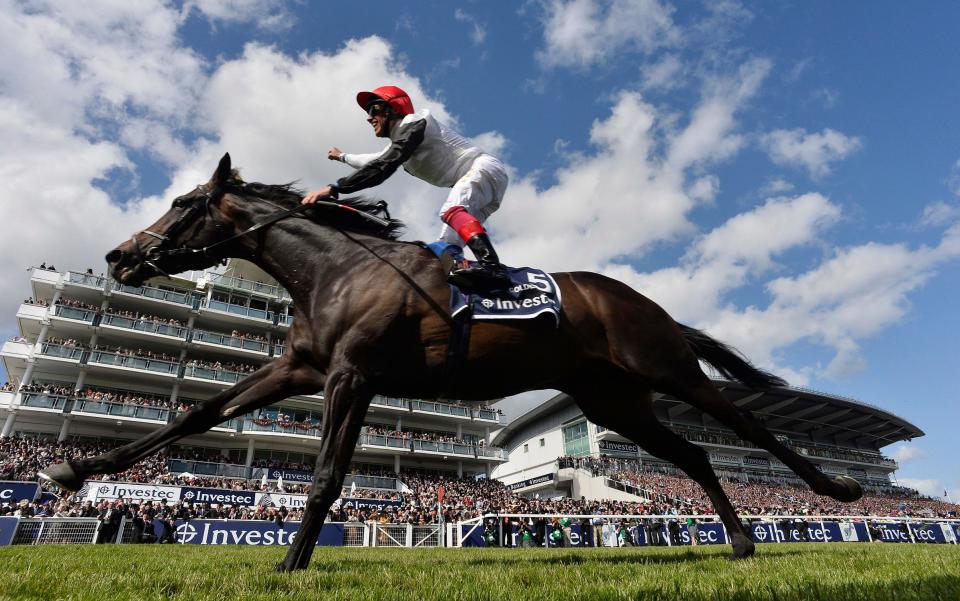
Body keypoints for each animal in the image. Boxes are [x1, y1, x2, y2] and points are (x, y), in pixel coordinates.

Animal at [37, 154, 864, 568]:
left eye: (183, 203)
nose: (119, 255)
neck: (339, 268)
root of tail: (645, 302)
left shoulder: (352, 375)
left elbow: (327, 475)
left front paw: (290, 562)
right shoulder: (301, 367)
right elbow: (198, 411)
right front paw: (73, 466)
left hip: (664, 368)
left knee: (745, 427)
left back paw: (840, 485)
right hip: (612, 401)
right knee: (693, 453)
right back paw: (743, 539)